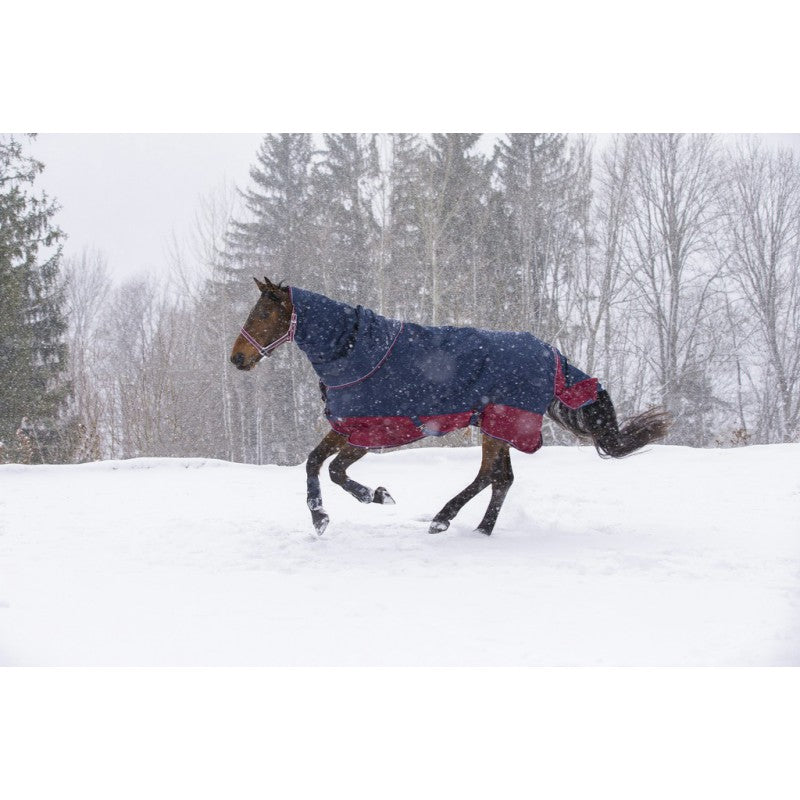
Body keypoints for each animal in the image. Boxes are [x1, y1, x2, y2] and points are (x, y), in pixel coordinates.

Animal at [230, 277, 671, 536]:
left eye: (265, 311)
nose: (237, 358)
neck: (352, 349)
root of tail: (552, 354)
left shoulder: (370, 430)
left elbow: (335, 470)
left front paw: (375, 496)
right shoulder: (346, 426)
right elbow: (313, 463)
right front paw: (322, 518)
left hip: (502, 423)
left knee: (491, 475)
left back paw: (446, 519)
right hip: (496, 426)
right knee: (501, 478)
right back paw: (479, 528)